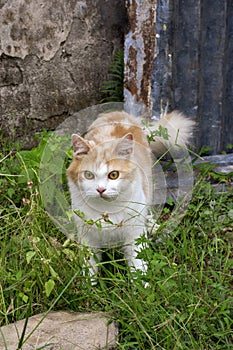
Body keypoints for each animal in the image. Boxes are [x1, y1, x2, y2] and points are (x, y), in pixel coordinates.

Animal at [66, 110, 194, 282]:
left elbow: (138, 265)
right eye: (88, 175)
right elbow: (90, 266)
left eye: (113, 175)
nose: (100, 189)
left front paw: (142, 286)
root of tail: (119, 113)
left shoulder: (134, 234)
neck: (107, 209)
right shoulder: (87, 236)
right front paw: (88, 286)